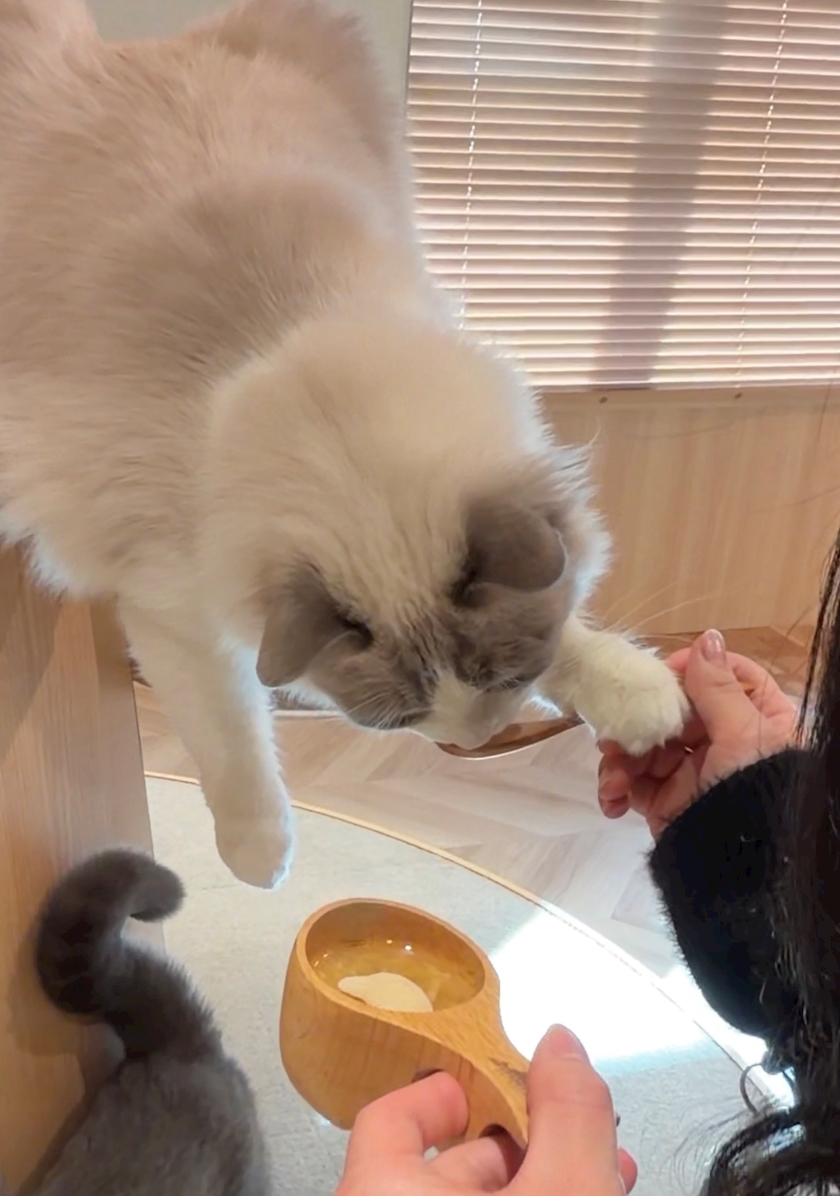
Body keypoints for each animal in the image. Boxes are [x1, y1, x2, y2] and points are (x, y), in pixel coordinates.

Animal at [0, 0, 688, 888]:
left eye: (506, 674)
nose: (472, 741)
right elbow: (233, 740)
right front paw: (262, 860)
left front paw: (641, 697)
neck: (282, 341)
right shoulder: (175, 608)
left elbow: (578, 632)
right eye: (396, 722)